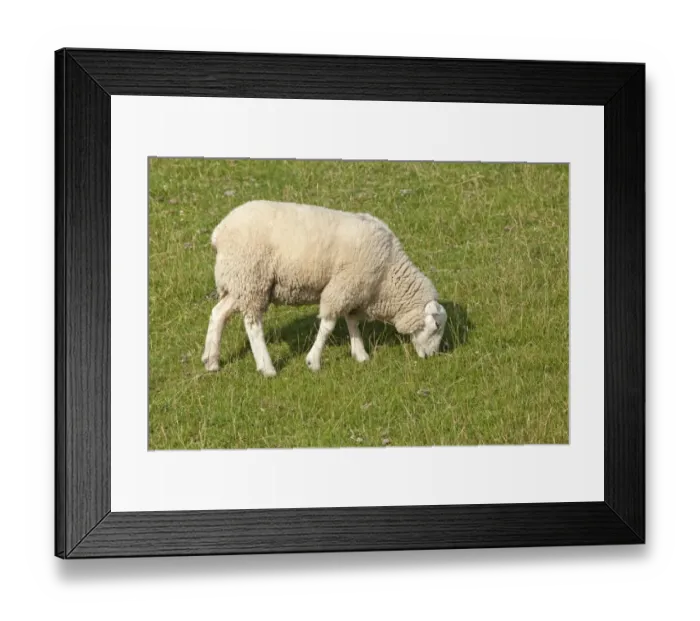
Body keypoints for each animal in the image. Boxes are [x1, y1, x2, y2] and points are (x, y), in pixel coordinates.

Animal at [201, 200, 447, 376]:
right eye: (436, 325)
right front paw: (313, 361)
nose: (432, 356)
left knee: (218, 313)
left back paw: (211, 361)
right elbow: (328, 325)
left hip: (238, 282)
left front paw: (360, 354)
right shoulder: (343, 286)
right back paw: (267, 368)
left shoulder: (354, 290)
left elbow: (352, 322)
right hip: (252, 277)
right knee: (252, 324)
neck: (387, 274)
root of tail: (219, 232)